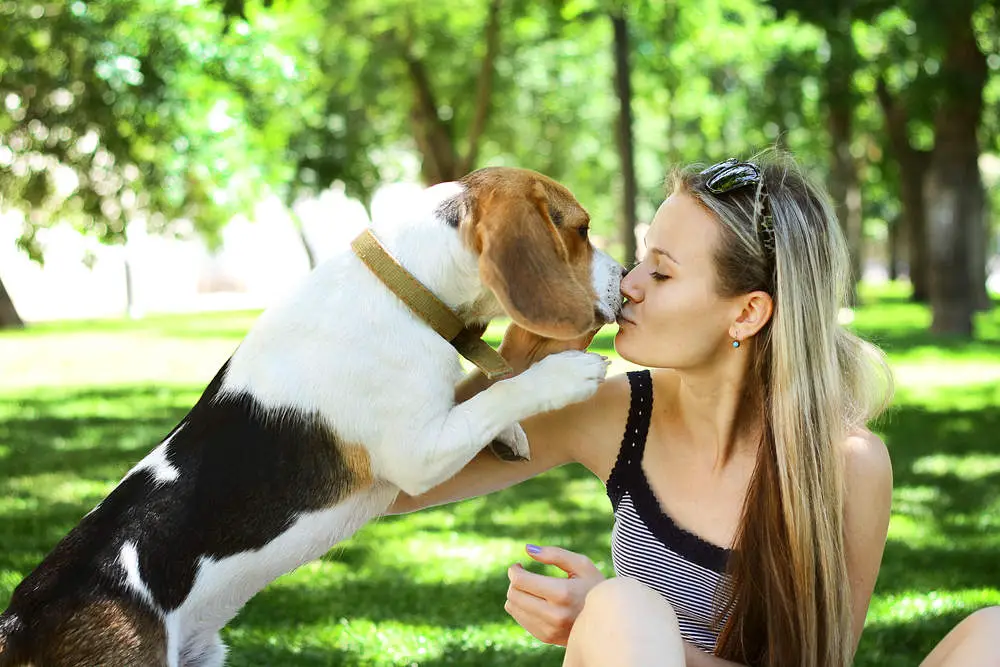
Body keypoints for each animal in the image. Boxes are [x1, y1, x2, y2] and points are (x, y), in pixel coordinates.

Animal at [0, 166, 624, 664]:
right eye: (581, 229)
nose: (626, 277)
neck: (403, 289)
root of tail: (18, 623)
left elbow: (481, 388)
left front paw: (511, 431)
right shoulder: (416, 454)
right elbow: (496, 394)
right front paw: (565, 374)